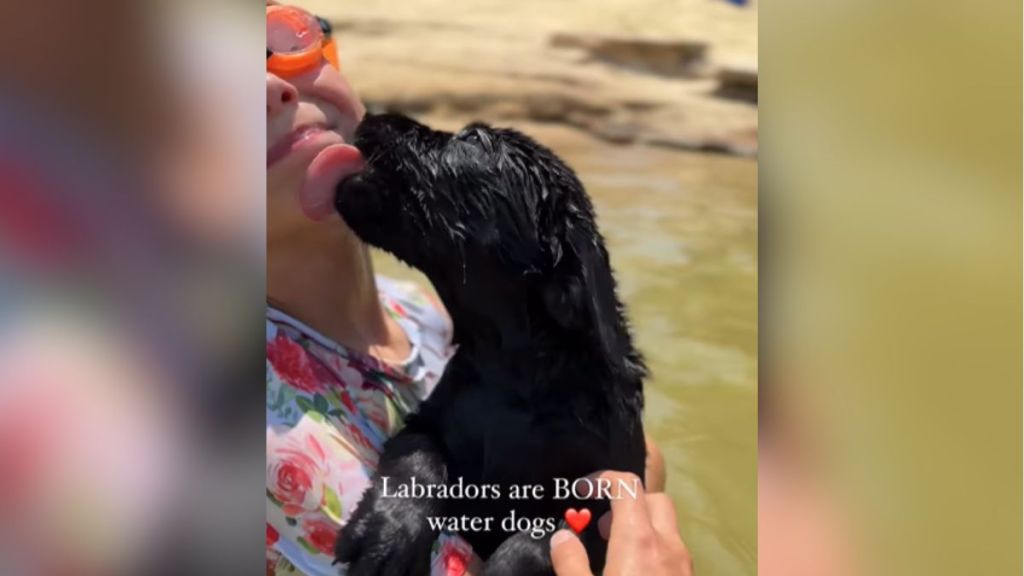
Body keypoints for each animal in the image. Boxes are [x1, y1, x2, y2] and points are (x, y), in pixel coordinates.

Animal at [331, 113, 643, 573]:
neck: (515, 375)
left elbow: (552, 533)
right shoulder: (426, 421)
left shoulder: (612, 490)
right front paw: (389, 532)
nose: (373, 116)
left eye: (471, 139)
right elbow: (419, 458)